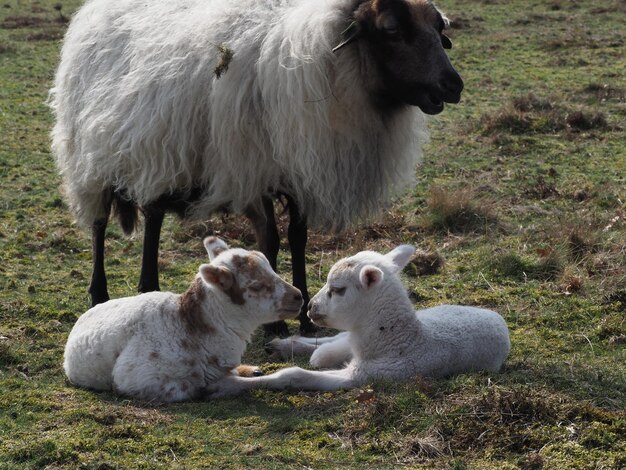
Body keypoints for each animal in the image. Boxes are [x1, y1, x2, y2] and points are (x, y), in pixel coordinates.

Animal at [51, 0, 464, 338]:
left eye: (438, 28)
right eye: (392, 29)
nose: (453, 85)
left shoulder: (299, 172)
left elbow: (298, 238)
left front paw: (304, 317)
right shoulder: (252, 170)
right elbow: (271, 239)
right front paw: (276, 323)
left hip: (161, 156)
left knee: (152, 216)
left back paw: (147, 286)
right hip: (91, 160)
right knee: (99, 225)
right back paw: (100, 294)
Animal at [207, 246, 510, 396]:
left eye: (338, 289)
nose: (310, 307)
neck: (401, 339)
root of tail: (496, 317)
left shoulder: (366, 376)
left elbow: (294, 375)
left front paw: (227, 386)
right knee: (334, 339)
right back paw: (286, 345)